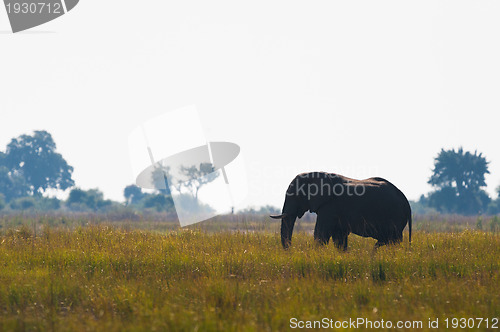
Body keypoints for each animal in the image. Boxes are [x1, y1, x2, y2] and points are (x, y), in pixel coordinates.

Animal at [272, 172, 412, 250]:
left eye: (295, 195)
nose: (290, 250)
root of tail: (406, 201)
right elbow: (339, 237)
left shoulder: (329, 206)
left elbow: (321, 234)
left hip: (395, 216)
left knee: (392, 240)